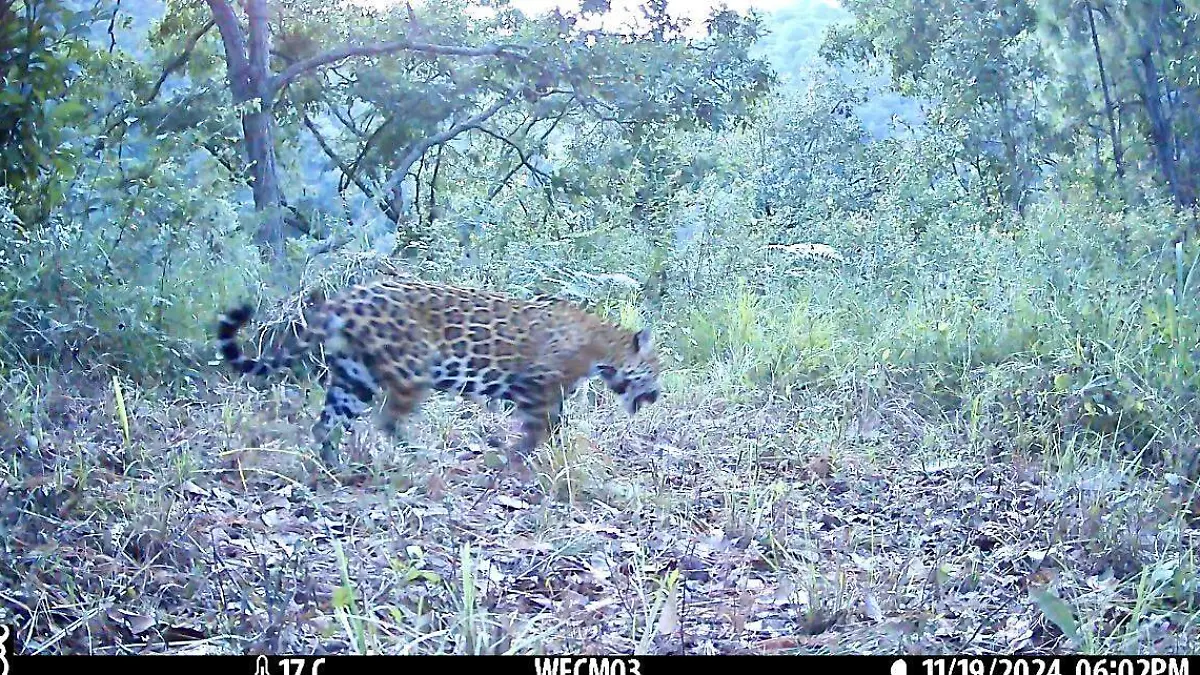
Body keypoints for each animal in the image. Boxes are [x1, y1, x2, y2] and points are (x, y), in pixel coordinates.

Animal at [215, 276, 661, 465]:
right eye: (655, 370)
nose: (657, 395)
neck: (602, 345)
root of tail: (346, 299)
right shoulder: (541, 387)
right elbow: (543, 428)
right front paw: (517, 461)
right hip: (412, 370)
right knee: (387, 419)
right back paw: (424, 457)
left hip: (353, 377)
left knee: (327, 424)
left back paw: (335, 466)